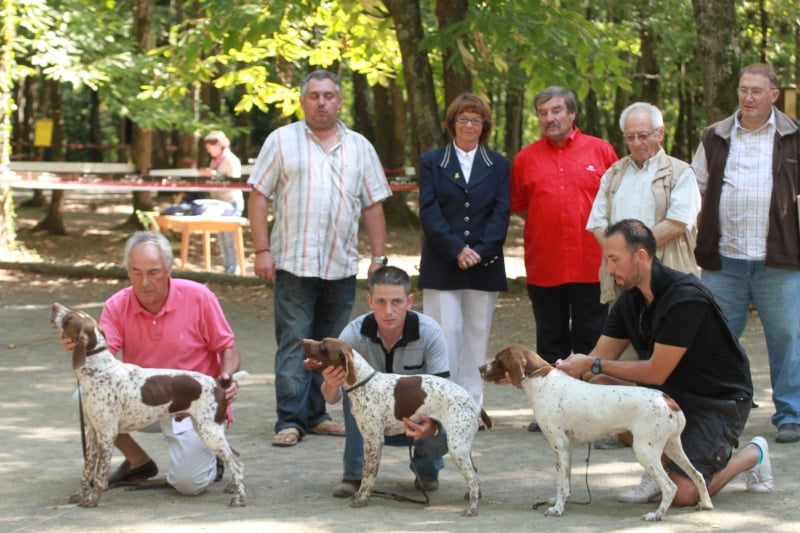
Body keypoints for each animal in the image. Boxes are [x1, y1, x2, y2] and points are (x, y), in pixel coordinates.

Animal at [50, 302, 244, 504]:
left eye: (69, 318)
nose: (54, 306)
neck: (99, 369)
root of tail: (217, 382)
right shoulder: (92, 433)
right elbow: (87, 469)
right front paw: (80, 495)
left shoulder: (106, 433)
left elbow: (100, 475)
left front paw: (92, 499)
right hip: (207, 430)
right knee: (236, 457)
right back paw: (233, 487)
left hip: (210, 432)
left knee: (236, 464)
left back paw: (239, 497)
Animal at [300, 336, 490, 516]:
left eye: (323, 346)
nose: (303, 341)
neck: (363, 383)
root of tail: (474, 404)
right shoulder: (368, 440)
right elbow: (365, 472)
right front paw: (360, 494)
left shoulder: (374, 441)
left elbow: (369, 475)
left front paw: (363, 498)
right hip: (462, 444)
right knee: (474, 473)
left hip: (457, 446)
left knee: (472, 479)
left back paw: (473, 508)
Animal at [478, 344, 708, 520]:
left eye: (498, 359)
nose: (479, 368)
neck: (541, 380)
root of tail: (668, 400)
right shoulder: (568, 448)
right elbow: (565, 482)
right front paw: (559, 501)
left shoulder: (559, 446)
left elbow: (560, 483)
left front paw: (557, 509)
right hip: (672, 447)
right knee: (698, 474)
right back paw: (705, 504)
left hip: (645, 450)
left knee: (670, 487)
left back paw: (656, 515)